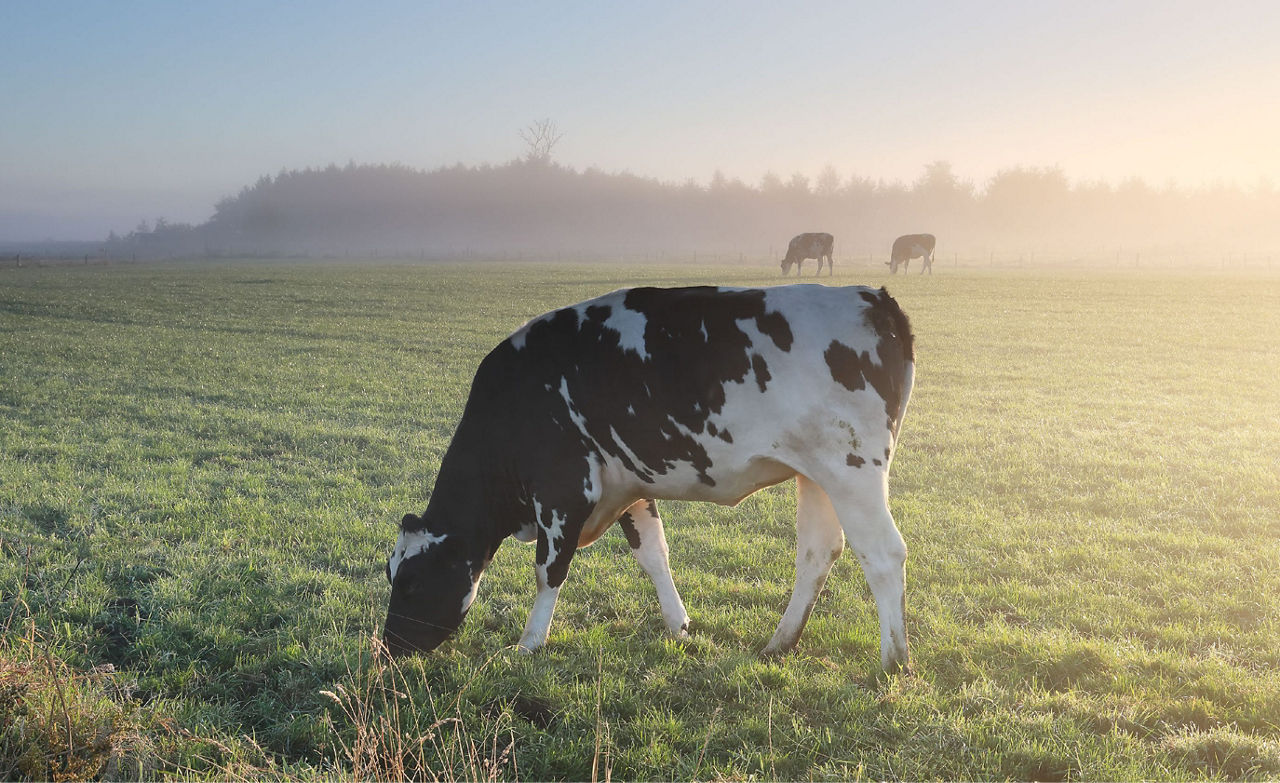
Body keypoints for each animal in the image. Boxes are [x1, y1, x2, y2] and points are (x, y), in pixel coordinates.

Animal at [384, 284, 916, 670]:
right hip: (818, 474)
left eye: (409, 582)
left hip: (853, 469)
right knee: (817, 552)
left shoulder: (564, 490)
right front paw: (678, 626)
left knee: (883, 554)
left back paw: (893, 661)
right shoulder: (629, 487)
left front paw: (529, 643)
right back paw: (779, 644)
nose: (388, 648)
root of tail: (873, 298)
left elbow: (548, 571)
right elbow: (654, 555)